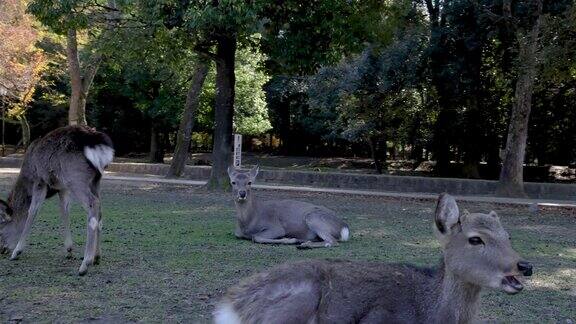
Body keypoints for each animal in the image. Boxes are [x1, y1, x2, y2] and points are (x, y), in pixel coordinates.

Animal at [0, 125, 113, 274]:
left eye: (0, 229)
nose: (2, 249)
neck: (27, 176)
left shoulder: (40, 181)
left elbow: (32, 211)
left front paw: (17, 252)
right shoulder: (62, 188)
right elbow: (64, 211)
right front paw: (69, 250)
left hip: (76, 178)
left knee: (93, 204)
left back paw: (85, 264)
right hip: (96, 180)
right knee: (100, 208)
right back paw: (97, 256)